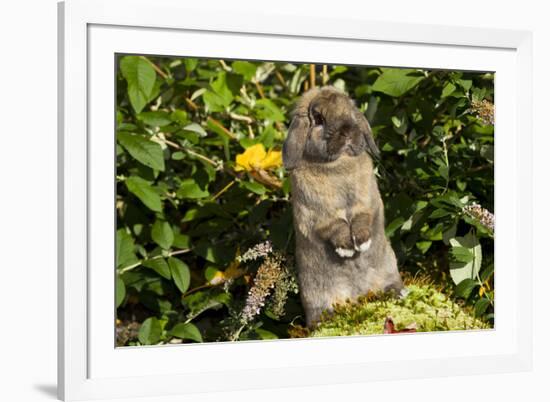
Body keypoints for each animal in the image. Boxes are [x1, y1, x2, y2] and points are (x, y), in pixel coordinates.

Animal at [284, 85, 406, 326]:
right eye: (318, 119)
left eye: (351, 110)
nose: (348, 131)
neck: (338, 163)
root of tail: (359, 294)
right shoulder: (319, 215)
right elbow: (336, 226)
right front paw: (348, 248)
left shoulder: (366, 202)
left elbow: (361, 218)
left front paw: (361, 242)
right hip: (317, 296)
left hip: (389, 268)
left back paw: (397, 292)